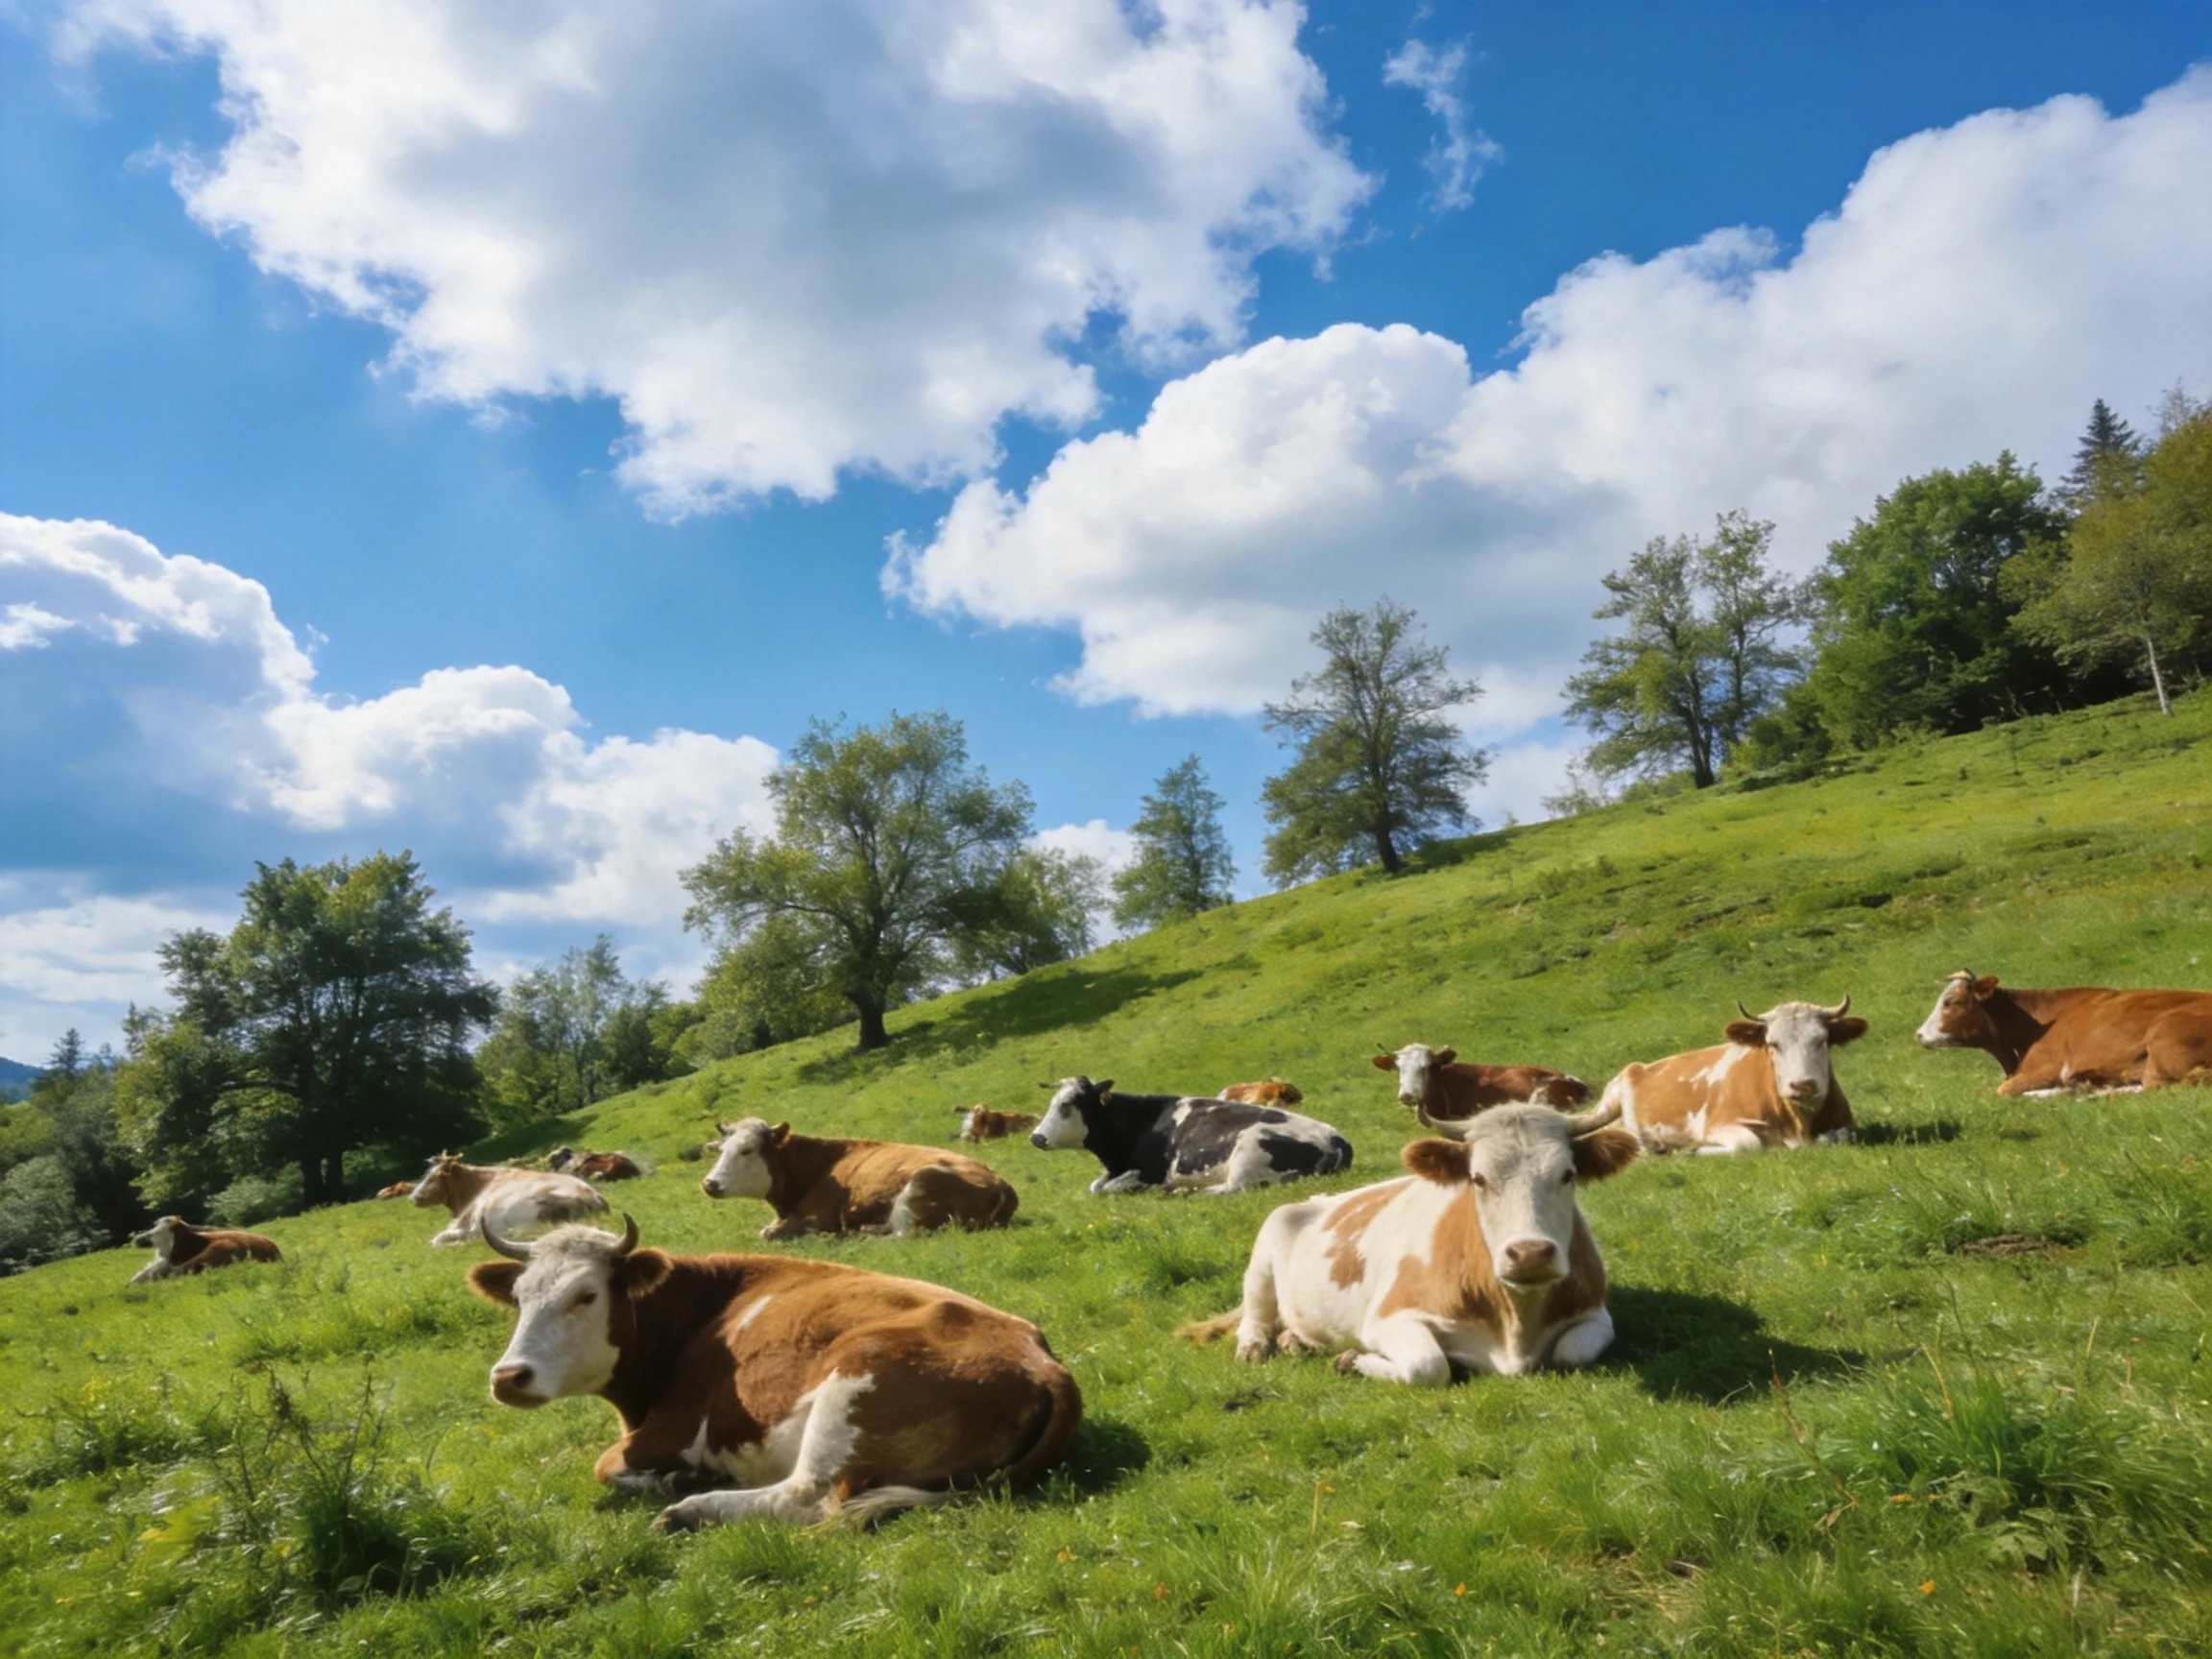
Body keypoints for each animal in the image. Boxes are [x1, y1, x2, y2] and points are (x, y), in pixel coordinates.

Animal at [468, 1214, 1081, 1530]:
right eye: (519, 1297)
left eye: (586, 1295)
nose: (508, 1377)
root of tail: (1042, 1358)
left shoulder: (676, 1427)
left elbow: (602, 1465)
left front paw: (675, 1481)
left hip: (852, 1383)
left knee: (807, 1497)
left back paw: (692, 1508)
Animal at [702, 1120, 1017, 1239]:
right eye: (721, 1149)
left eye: (746, 1150)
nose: (709, 1183)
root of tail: (1003, 1185)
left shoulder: (820, 1216)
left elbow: (769, 1233)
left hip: (922, 1181)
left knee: (905, 1234)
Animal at [1030, 1076, 1353, 1195]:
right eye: (1052, 1102)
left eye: (1066, 1105)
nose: (1036, 1138)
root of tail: (1337, 1139)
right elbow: (1095, 1186)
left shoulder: (1151, 1172)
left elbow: (1107, 1188)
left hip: (1248, 1151)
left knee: (1229, 1189)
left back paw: (1184, 1191)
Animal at [1180, 1102, 1639, 1383]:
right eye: (1477, 1178)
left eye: (1568, 1175)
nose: (1529, 1255)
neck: (1516, 1326)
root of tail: (1313, 1199)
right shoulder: (1388, 1318)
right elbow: (1428, 1366)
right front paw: (1355, 1360)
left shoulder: (1596, 1315)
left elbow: (1571, 1354)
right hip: (1262, 1257)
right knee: (1255, 1319)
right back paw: (1255, 1348)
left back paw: (1297, 1341)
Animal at [1601, 998, 1867, 1154]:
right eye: (1773, 1044)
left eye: (1822, 1040)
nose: (1803, 1085)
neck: (1798, 1123)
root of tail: (1637, 1067)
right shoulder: (1717, 1124)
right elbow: (1748, 1144)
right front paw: (1695, 1150)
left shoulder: (1846, 1126)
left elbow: (1837, 1136)